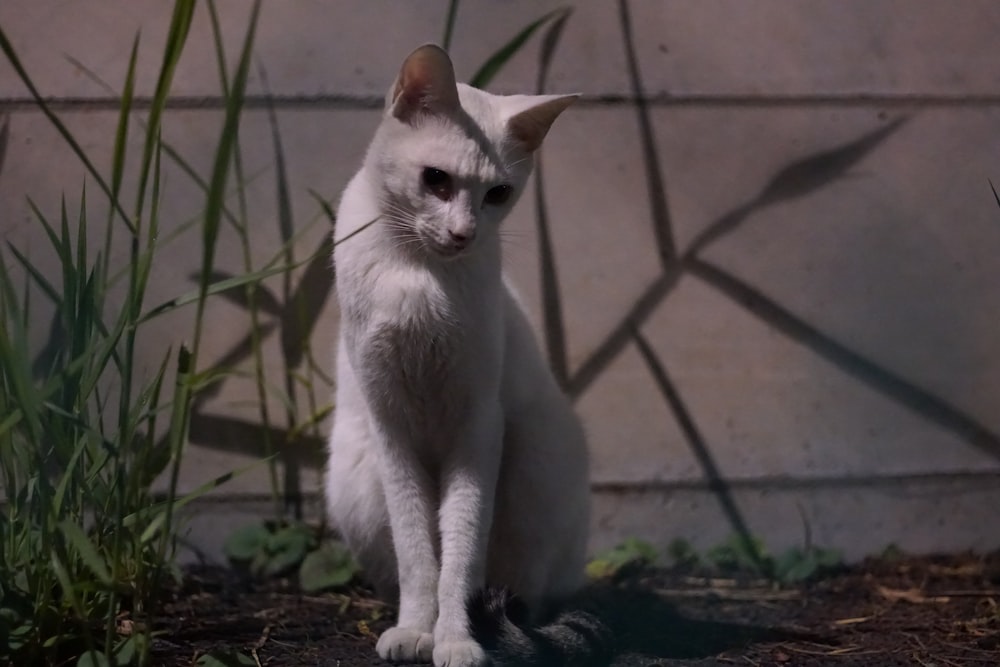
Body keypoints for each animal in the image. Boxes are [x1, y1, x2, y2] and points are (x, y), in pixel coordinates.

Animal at [328, 45, 588, 667]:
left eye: (498, 194)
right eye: (436, 180)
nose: (464, 233)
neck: (417, 274)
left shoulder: (477, 426)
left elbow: (461, 548)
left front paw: (454, 639)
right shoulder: (391, 425)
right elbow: (418, 551)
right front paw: (415, 631)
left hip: (538, 465)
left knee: (520, 586)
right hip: (355, 479)